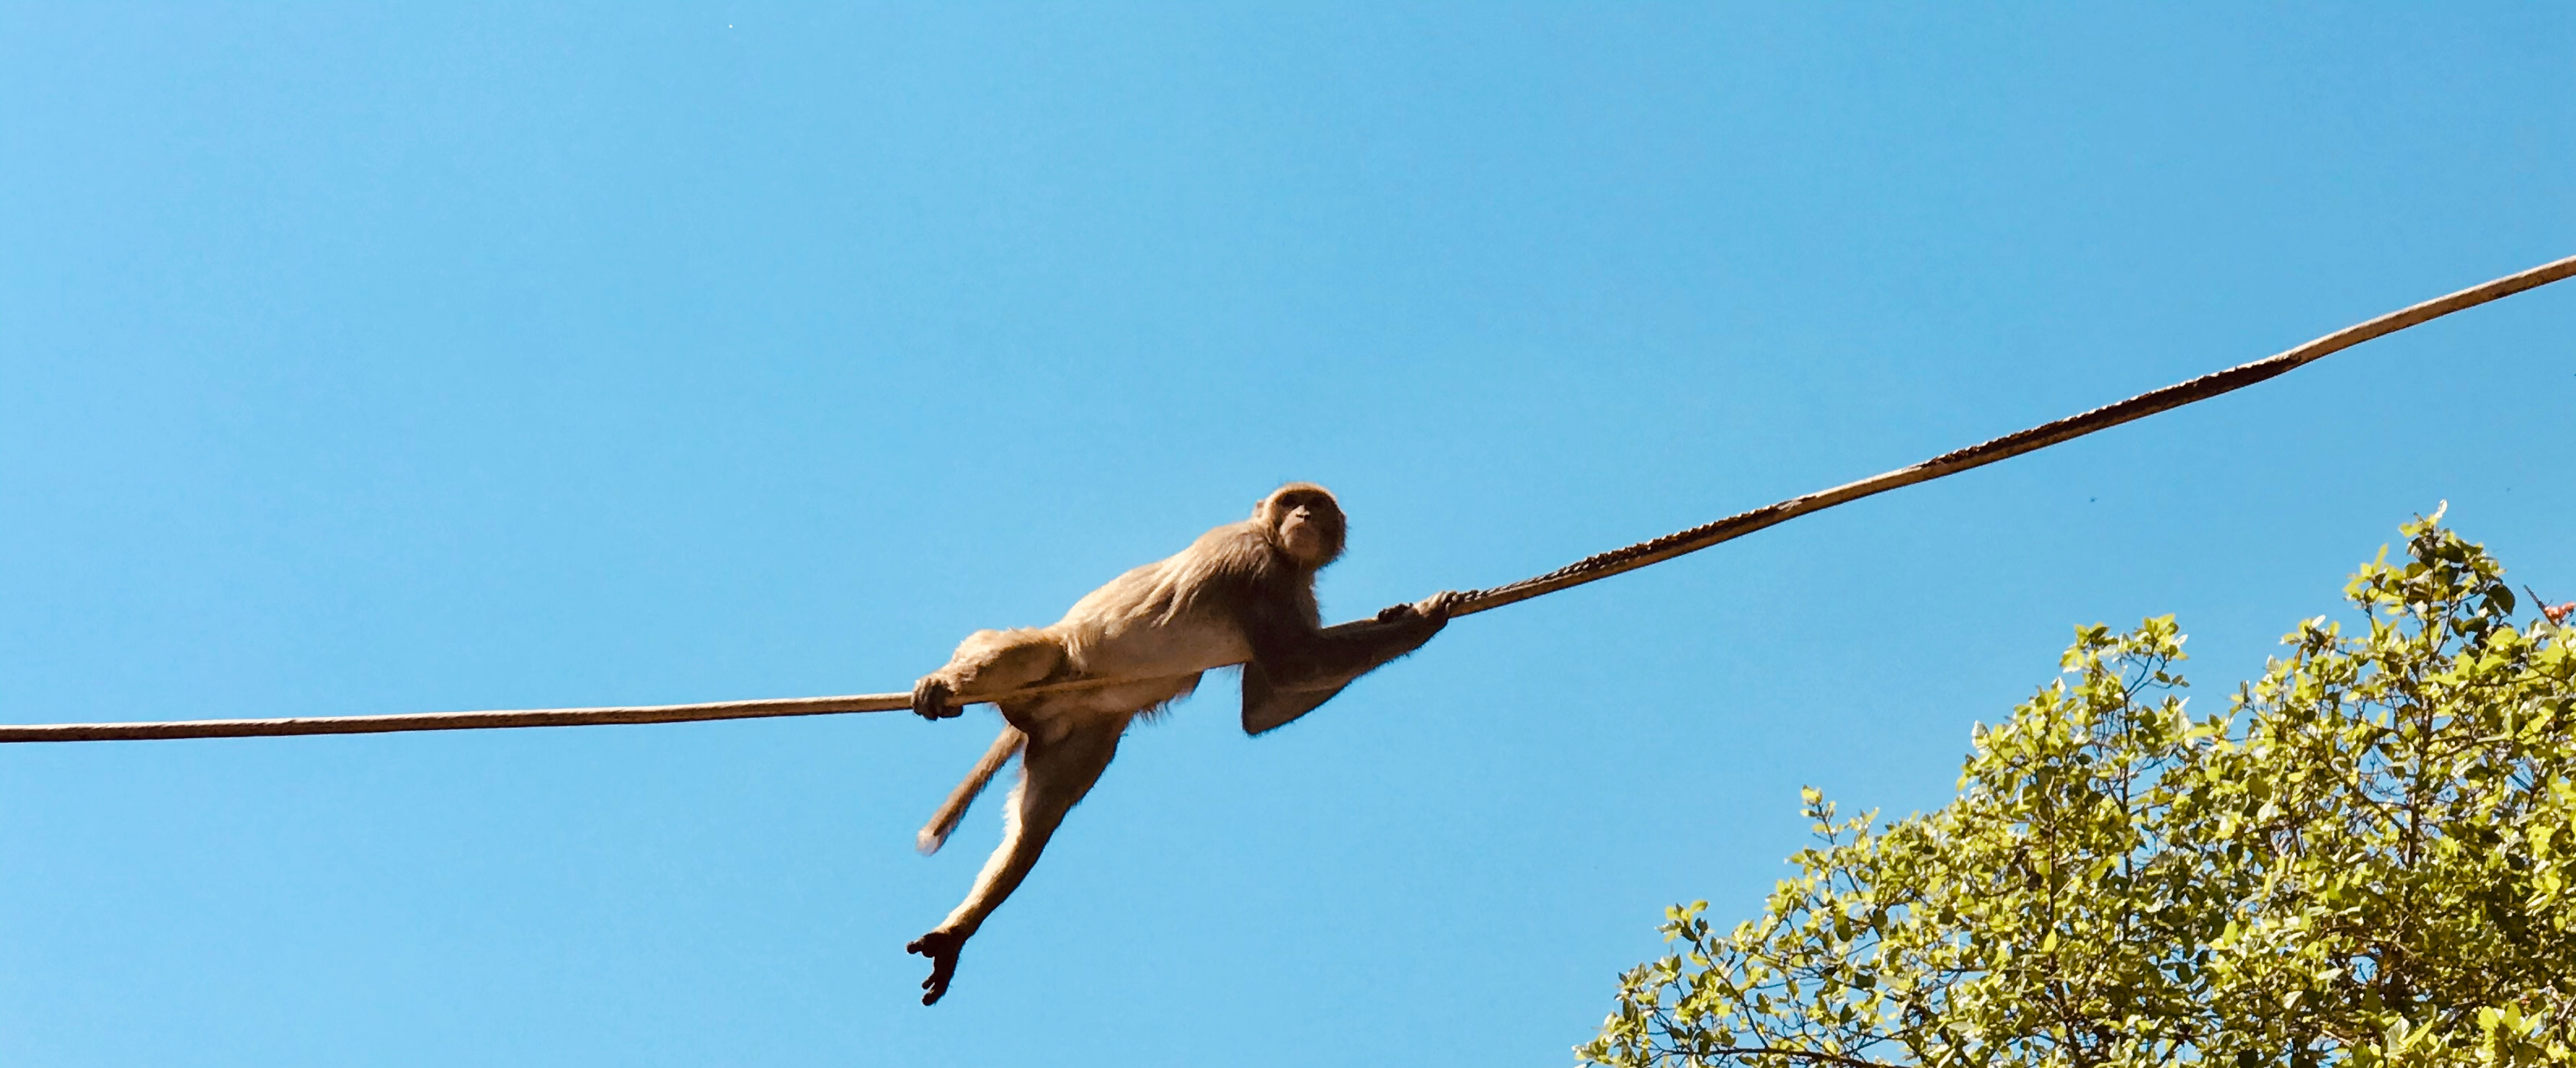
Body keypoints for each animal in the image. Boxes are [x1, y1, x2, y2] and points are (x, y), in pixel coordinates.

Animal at [901, 482, 1460, 1005]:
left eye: (1316, 506)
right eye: (1292, 502)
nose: (1302, 514)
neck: (1280, 553)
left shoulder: (1297, 586)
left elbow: (1263, 706)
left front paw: (1402, 615)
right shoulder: (1254, 562)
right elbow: (1293, 666)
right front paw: (1424, 621)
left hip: (1081, 727)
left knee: (1037, 822)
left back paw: (958, 930)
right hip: (1064, 668)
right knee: (1033, 650)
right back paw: (946, 683)